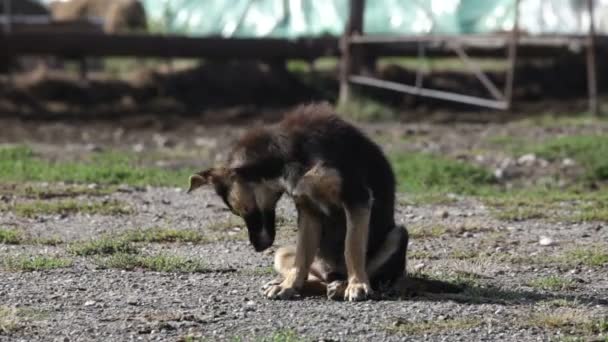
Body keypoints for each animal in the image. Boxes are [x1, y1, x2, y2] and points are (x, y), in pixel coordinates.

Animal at [188, 103, 408, 300]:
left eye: (243, 209)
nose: (258, 248)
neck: (286, 158)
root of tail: (331, 272)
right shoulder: (307, 207)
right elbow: (302, 256)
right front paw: (288, 286)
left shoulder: (356, 197)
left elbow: (352, 247)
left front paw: (358, 285)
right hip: (283, 253)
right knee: (316, 277)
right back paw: (291, 284)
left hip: (398, 235)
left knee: (368, 274)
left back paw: (341, 285)